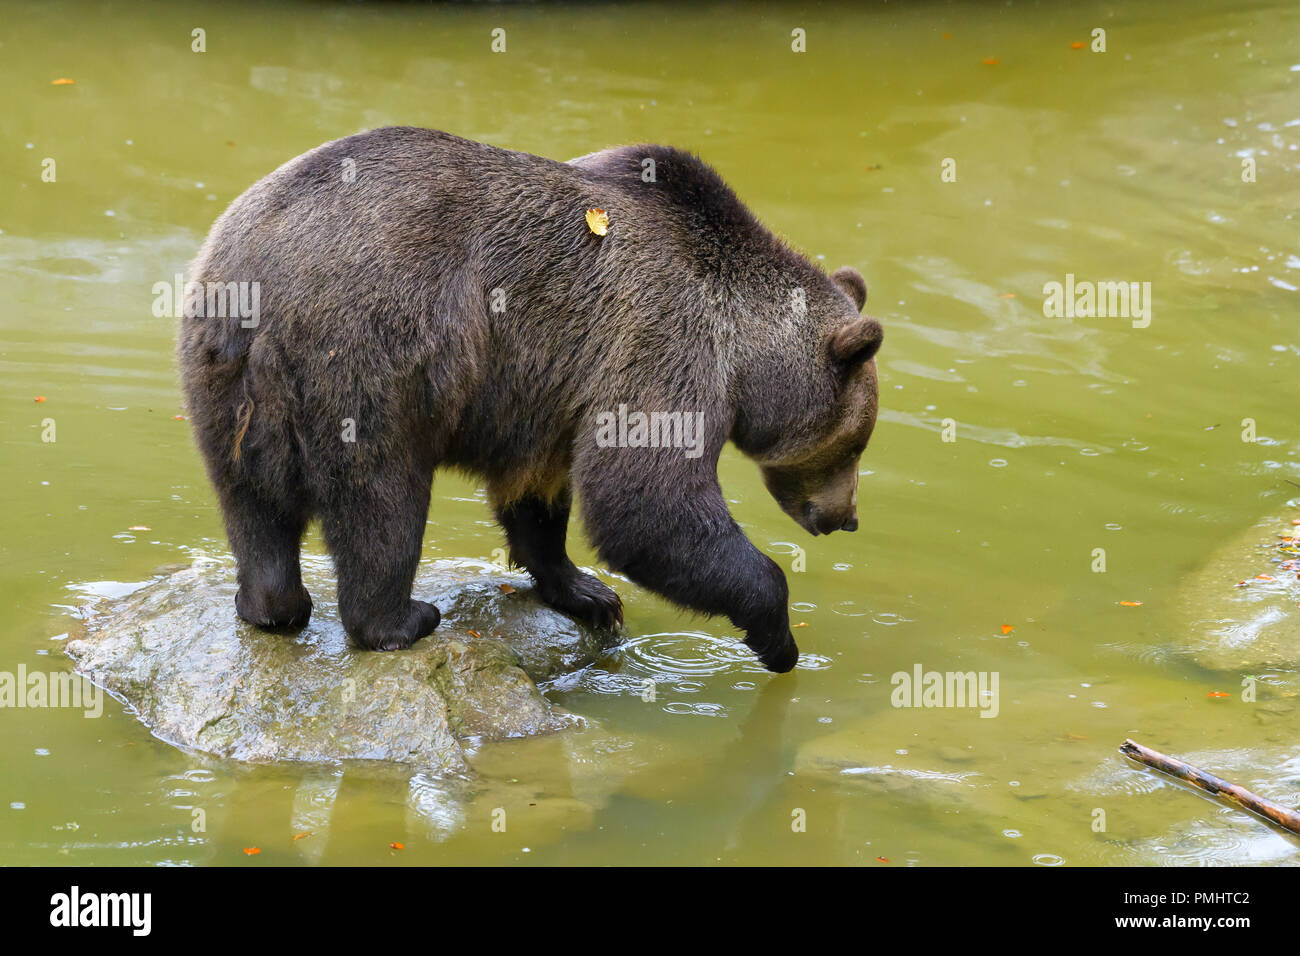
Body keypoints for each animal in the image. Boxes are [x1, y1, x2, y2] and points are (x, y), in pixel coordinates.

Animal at [178, 127, 882, 673]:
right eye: (855, 443)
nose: (846, 517)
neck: (743, 353)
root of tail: (260, 280)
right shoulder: (662, 341)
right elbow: (647, 500)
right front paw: (777, 635)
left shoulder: (552, 390)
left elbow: (539, 490)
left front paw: (590, 594)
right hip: (375, 354)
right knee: (381, 498)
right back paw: (402, 618)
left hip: (221, 373)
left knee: (251, 503)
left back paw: (271, 605)